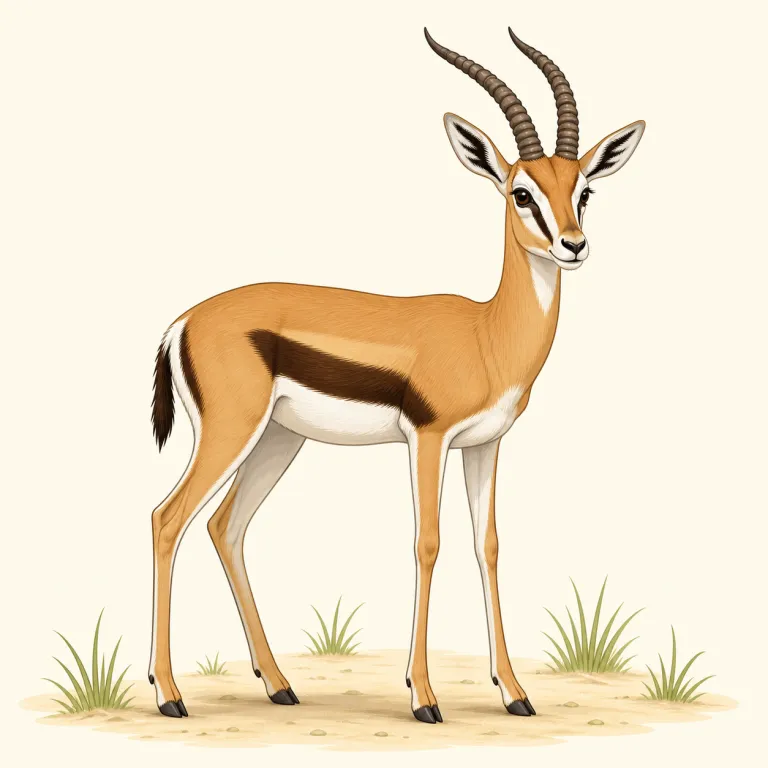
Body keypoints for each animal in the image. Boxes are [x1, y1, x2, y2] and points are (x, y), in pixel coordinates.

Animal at [147, 27, 645, 724]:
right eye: (521, 191)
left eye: (584, 190)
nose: (573, 246)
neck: (486, 334)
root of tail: (185, 318)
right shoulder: (428, 439)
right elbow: (428, 542)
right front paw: (423, 697)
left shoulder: (485, 445)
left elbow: (488, 546)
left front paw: (515, 693)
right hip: (231, 432)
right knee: (169, 519)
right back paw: (170, 695)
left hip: (279, 438)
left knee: (227, 527)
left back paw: (278, 685)